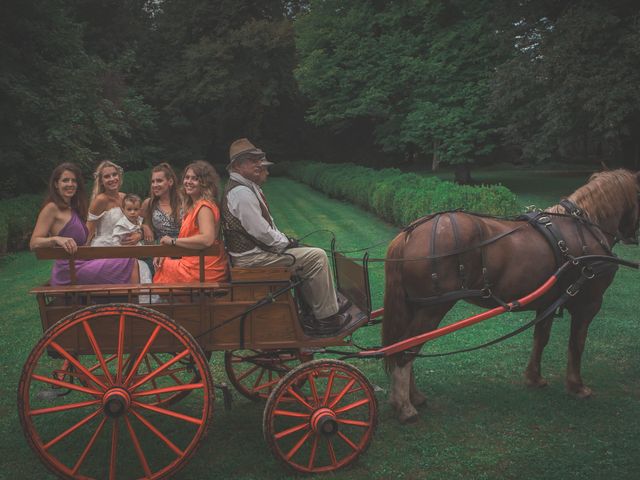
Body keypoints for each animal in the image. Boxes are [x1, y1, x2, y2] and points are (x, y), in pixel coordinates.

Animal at [382, 170, 636, 424]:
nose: (633, 236)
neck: (585, 228)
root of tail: (410, 233)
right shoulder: (588, 304)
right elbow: (577, 344)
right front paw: (577, 387)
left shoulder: (548, 302)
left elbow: (541, 338)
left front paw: (534, 378)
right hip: (433, 307)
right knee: (405, 350)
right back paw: (404, 406)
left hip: (416, 306)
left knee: (405, 346)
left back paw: (413, 397)